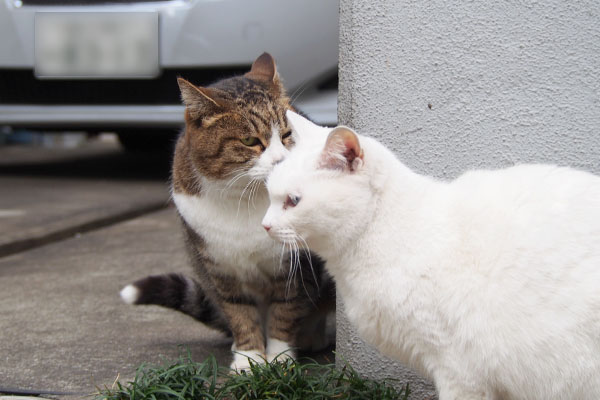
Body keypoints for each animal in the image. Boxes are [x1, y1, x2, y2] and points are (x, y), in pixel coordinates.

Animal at [120, 54, 338, 372]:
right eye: (249, 141)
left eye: (288, 135)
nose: (282, 161)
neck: (245, 200)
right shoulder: (219, 267)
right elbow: (239, 313)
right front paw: (249, 359)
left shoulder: (296, 266)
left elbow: (286, 310)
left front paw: (279, 358)